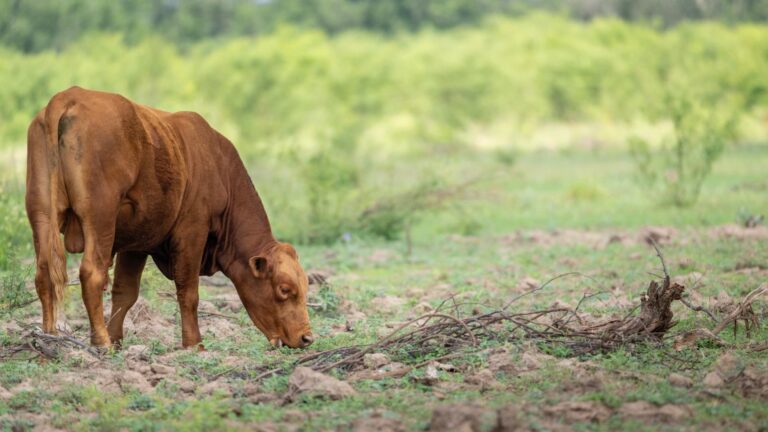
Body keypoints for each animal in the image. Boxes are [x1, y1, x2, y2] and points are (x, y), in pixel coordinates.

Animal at [25, 86, 313, 349]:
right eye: (284, 290)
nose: (307, 337)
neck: (220, 168)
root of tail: (70, 96)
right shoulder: (192, 232)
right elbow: (188, 292)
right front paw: (194, 344)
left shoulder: (136, 243)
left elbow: (124, 293)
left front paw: (117, 338)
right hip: (100, 218)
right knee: (91, 274)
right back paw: (100, 342)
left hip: (41, 214)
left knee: (44, 273)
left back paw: (50, 335)